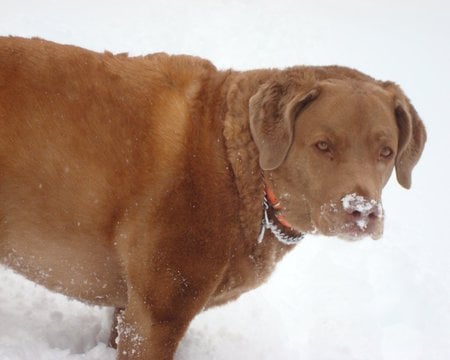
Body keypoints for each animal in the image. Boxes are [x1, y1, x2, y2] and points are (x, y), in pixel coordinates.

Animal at [0, 37, 426, 360]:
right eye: (323, 145)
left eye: (385, 152)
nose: (362, 212)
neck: (239, 168)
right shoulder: (158, 313)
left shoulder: (128, 307)